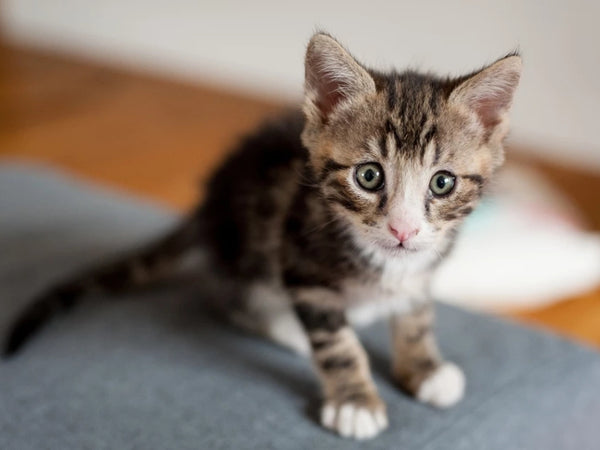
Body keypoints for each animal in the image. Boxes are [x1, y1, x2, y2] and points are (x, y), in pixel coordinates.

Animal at [3, 32, 520, 440]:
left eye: (442, 182)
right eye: (369, 176)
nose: (403, 228)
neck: (386, 262)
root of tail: (207, 201)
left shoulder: (422, 268)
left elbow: (415, 315)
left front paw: (424, 368)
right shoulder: (301, 264)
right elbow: (337, 344)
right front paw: (355, 401)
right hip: (246, 253)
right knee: (232, 301)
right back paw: (288, 330)